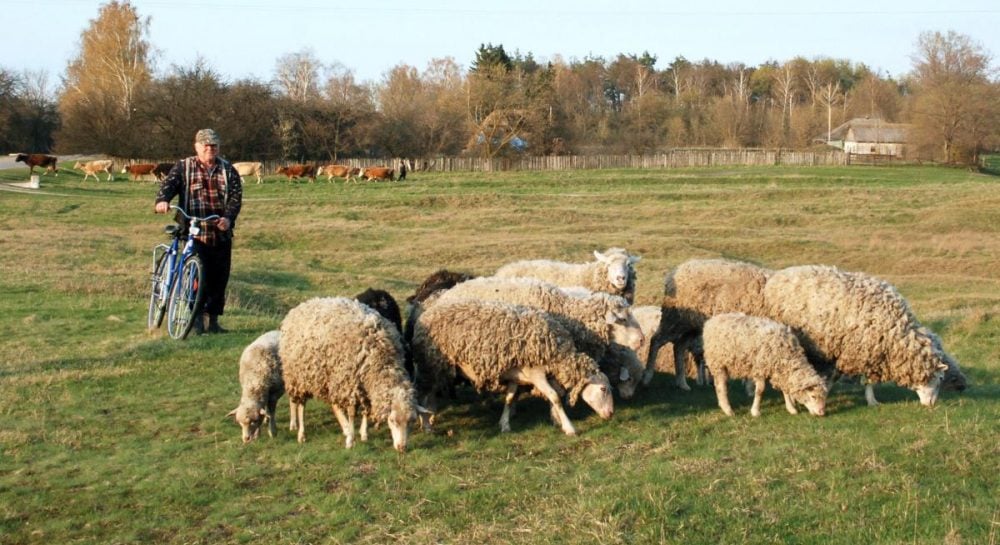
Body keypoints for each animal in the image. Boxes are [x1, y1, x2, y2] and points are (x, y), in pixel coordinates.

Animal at [279, 297, 428, 451]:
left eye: (412, 421)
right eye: (392, 420)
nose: (402, 448)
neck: (381, 357)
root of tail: (302, 305)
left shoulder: (363, 386)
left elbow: (366, 410)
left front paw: (363, 433)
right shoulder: (350, 384)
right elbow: (351, 413)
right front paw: (351, 439)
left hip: (329, 377)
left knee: (333, 404)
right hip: (298, 376)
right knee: (301, 405)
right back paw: (301, 433)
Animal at [411, 299, 615, 436]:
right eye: (603, 389)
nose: (611, 414)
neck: (559, 354)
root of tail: (425, 315)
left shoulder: (516, 376)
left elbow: (509, 398)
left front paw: (504, 424)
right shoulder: (536, 374)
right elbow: (555, 397)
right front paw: (569, 427)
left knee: (430, 395)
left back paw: (429, 420)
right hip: (431, 364)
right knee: (424, 394)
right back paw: (426, 425)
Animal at [646, 258, 773, 390]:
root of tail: (677, 270)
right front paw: (751, 388)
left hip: (691, 326)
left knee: (678, 348)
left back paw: (682, 383)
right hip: (674, 319)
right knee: (656, 340)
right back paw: (647, 377)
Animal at [762, 265, 962, 407]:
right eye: (940, 379)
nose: (932, 404)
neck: (896, 330)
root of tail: (780, 275)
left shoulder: (869, 352)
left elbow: (868, 381)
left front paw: (871, 400)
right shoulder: (851, 351)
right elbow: (838, 376)